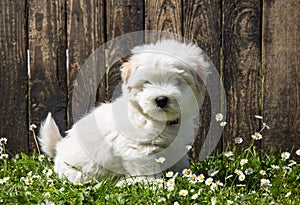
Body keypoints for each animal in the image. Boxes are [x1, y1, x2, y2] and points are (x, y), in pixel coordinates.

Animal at [38, 39, 211, 182]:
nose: (161, 99)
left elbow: (180, 164)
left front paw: (183, 177)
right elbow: (146, 172)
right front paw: (152, 185)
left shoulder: (178, 146)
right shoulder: (139, 150)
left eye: (178, 81)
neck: (156, 121)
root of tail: (58, 148)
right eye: (146, 82)